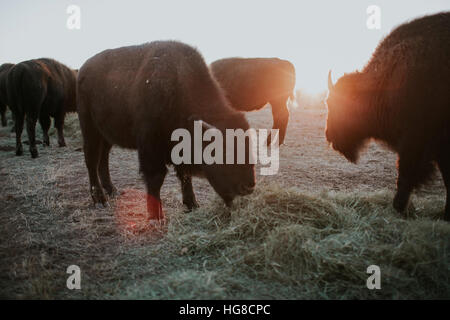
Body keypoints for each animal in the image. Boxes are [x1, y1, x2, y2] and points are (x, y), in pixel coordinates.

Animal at [75, 40, 255, 222]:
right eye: (225, 151)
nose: (248, 186)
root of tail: (83, 69)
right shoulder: (150, 147)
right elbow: (156, 177)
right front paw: (156, 216)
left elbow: (185, 175)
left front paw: (192, 204)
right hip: (89, 128)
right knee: (91, 159)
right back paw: (100, 199)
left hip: (106, 135)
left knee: (103, 158)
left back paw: (112, 190)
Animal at [326, 13, 450, 222]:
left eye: (334, 104)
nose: (329, 135)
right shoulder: (439, 149)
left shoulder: (414, 141)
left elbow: (406, 174)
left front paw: (399, 207)